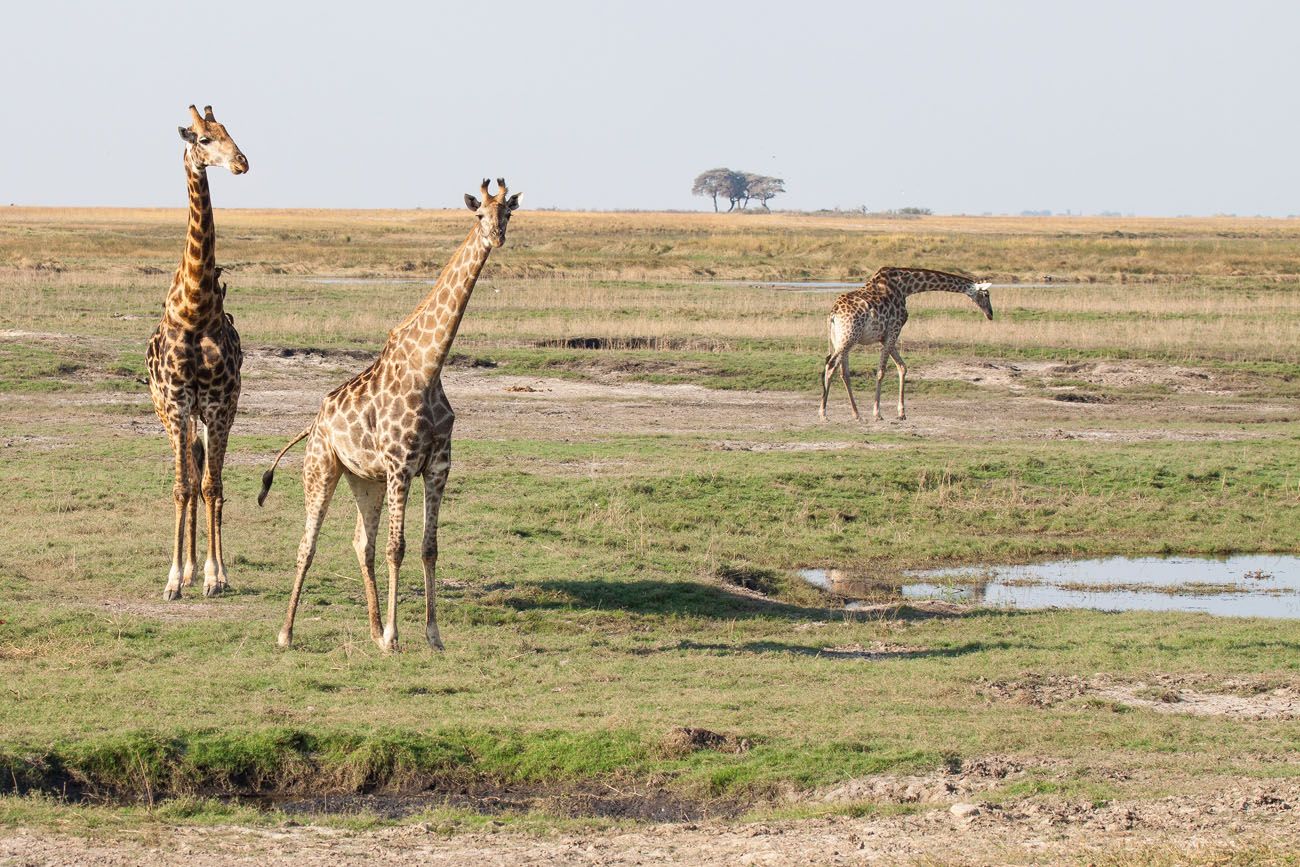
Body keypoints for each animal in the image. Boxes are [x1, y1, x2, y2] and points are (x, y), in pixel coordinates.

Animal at [258, 178, 522, 649]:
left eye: (507, 212)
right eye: (479, 214)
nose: (496, 236)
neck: (429, 367)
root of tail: (314, 422)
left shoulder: (437, 466)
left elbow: (427, 547)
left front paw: (432, 636)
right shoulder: (401, 464)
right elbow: (396, 548)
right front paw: (396, 638)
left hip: (366, 480)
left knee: (360, 541)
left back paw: (372, 628)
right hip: (322, 467)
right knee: (308, 544)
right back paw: (288, 633)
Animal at [821, 267, 993, 423]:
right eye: (986, 294)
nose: (990, 314)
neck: (905, 287)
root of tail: (832, 314)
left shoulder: (884, 337)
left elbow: (902, 367)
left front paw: (901, 413)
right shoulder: (894, 330)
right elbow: (881, 371)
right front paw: (877, 413)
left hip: (841, 340)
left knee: (843, 372)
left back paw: (856, 414)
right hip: (849, 338)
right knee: (831, 365)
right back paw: (823, 413)